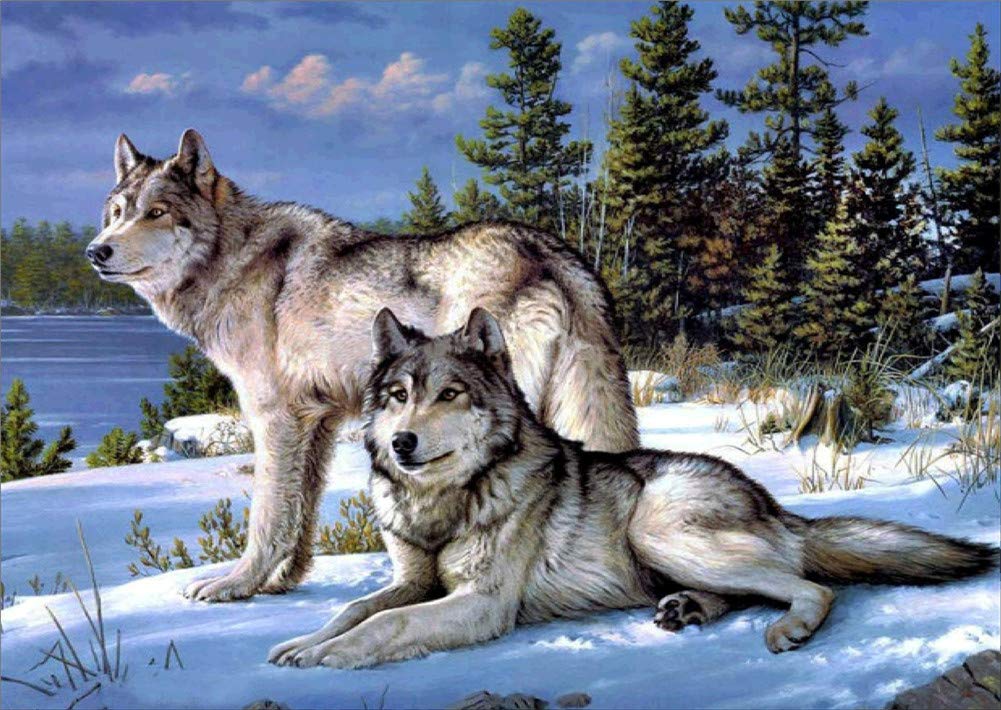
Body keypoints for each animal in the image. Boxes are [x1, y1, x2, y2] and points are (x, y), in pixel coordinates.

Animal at [86, 129, 639, 603]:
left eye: (157, 212)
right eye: (115, 213)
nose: (96, 251)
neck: (232, 259)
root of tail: (553, 251)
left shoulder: (274, 418)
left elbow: (267, 515)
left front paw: (236, 584)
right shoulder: (318, 422)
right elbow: (300, 512)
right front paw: (282, 582)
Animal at [267, 307, 997, 668]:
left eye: (448, 394)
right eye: (397, 397)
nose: (401, 443)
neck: (445, 502)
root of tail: (772, 503)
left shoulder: (482, 604)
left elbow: (383, 624)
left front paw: (327, 660)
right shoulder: (412, 580)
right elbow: (354, 609)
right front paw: (304, 644)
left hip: (657, 530)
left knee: (813, 588)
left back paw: (786, 630)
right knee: (753, 589)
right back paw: (687, 610)